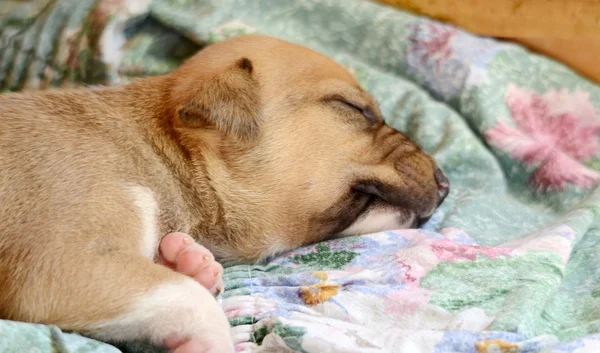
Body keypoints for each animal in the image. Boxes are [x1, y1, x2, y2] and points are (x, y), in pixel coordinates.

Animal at [0, 36, 448, 352]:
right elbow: (191, 299)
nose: (446, 185)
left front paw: (191, 262)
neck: (160, 151)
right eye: (353, 108)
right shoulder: (60, 265)